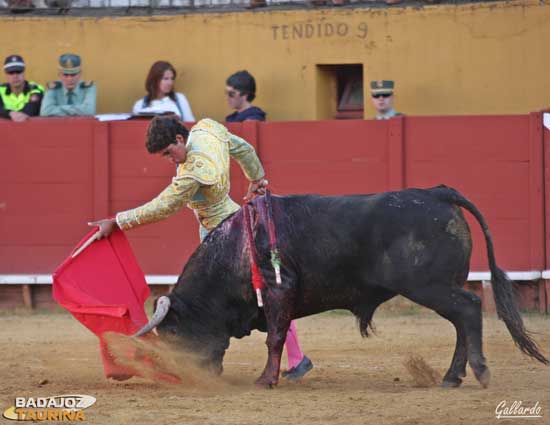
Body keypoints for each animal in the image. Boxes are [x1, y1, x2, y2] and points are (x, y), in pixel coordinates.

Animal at [136, 186, 548, 388]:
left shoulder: (278, 290)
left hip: (429, 285)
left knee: (468, 310)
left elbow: (274, 337)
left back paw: (478, 372)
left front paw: (266, 380)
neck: (237, 248)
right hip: (443, 284)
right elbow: (278, 336)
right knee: (463, 320)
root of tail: (436, 193)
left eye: (172, 333)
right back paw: (451, 377)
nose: (189, 375)